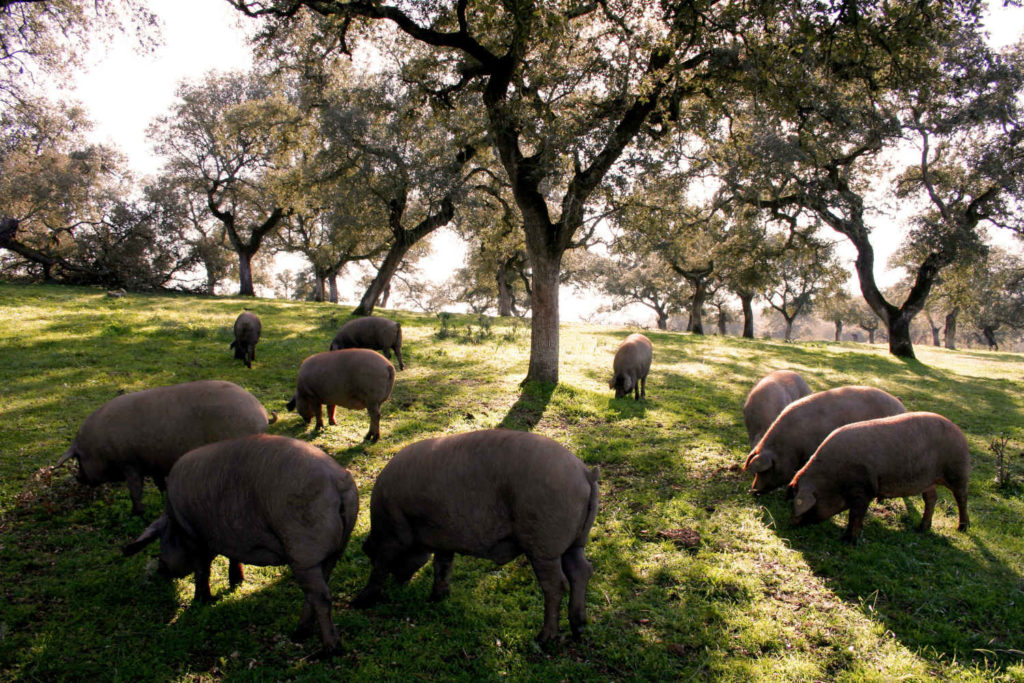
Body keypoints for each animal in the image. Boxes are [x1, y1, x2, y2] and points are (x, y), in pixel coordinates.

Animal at [54, 378, 272, 511]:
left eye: (79, 458)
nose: (79, 478)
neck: (98, 449)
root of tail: (261, 413)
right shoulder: (153, 462)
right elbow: (160, 483)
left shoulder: (129, 464)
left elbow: (135, 491)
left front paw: (137, 513)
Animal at [123, 436, 358, 655]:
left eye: (160, 542)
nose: (161, 568)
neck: (176, 521)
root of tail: (336, 483)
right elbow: (232, 557)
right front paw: (236, 581)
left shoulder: (196, 538)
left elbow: (202, 570)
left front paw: (200, 601)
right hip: (333, 551)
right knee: (316, 592)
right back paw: (299, 634)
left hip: (304, 553)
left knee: (320, 597)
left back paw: (329, 648)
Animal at [354, 430, 598, 643]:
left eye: (369, 554)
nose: (400, 582)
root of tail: (585, 472)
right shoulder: (443, 539)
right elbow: (442, 566)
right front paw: (437, 598)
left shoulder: (392, 536)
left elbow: (380, 568)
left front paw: (359, 601)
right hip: (575, 543)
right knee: (581, 571)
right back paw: (579, 628)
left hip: (544, 546)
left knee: (557, 585)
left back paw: (544, 638)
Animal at [786, 411, 970, 544]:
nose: (791, 522)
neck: (831, 480)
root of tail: (958, 430)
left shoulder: (863, 490)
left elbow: (856, 515)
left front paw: (847, 541)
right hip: (928, 481)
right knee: (931, 498)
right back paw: (921, 528)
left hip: (958, 471)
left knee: (961, 498)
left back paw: (962, 528)